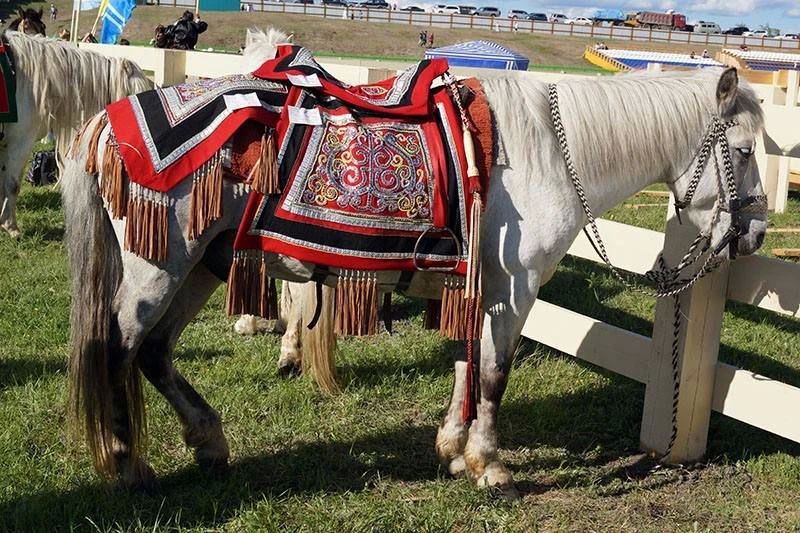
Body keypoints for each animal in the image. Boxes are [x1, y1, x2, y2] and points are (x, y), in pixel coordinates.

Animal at [61, 27, 767, 496]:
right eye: (745, 150)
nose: (756, 232)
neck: (545, 152)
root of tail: (107, 121)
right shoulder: (514, 290)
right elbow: (493, 374)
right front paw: (491, 466)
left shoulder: (471, 288)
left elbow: (464, 364)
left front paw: (453, 451)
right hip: (157, 268)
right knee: (117, 350)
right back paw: (127, 462)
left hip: (201, 265)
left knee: (154, 353)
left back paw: (208, 442)